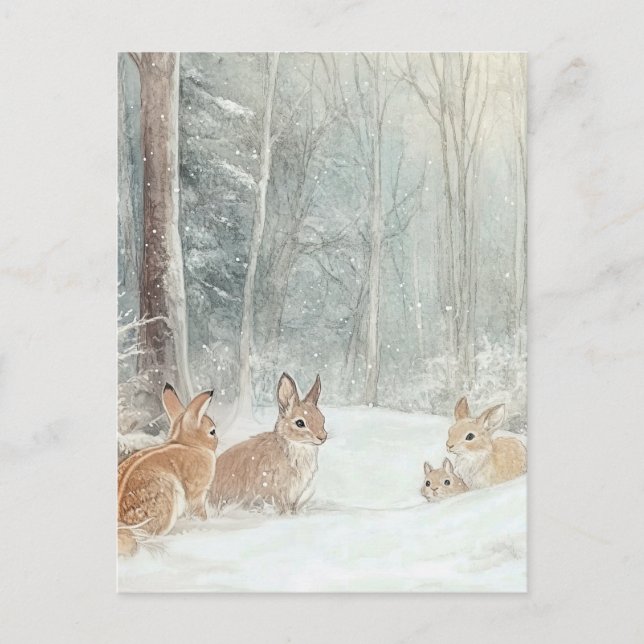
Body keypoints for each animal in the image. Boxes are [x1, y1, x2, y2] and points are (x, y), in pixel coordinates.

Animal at [117, 384, 217, 556]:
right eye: (212, 431)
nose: (217, 440)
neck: (190, 444)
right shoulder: (198, 493)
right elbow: (198, 510)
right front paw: (205, 522)